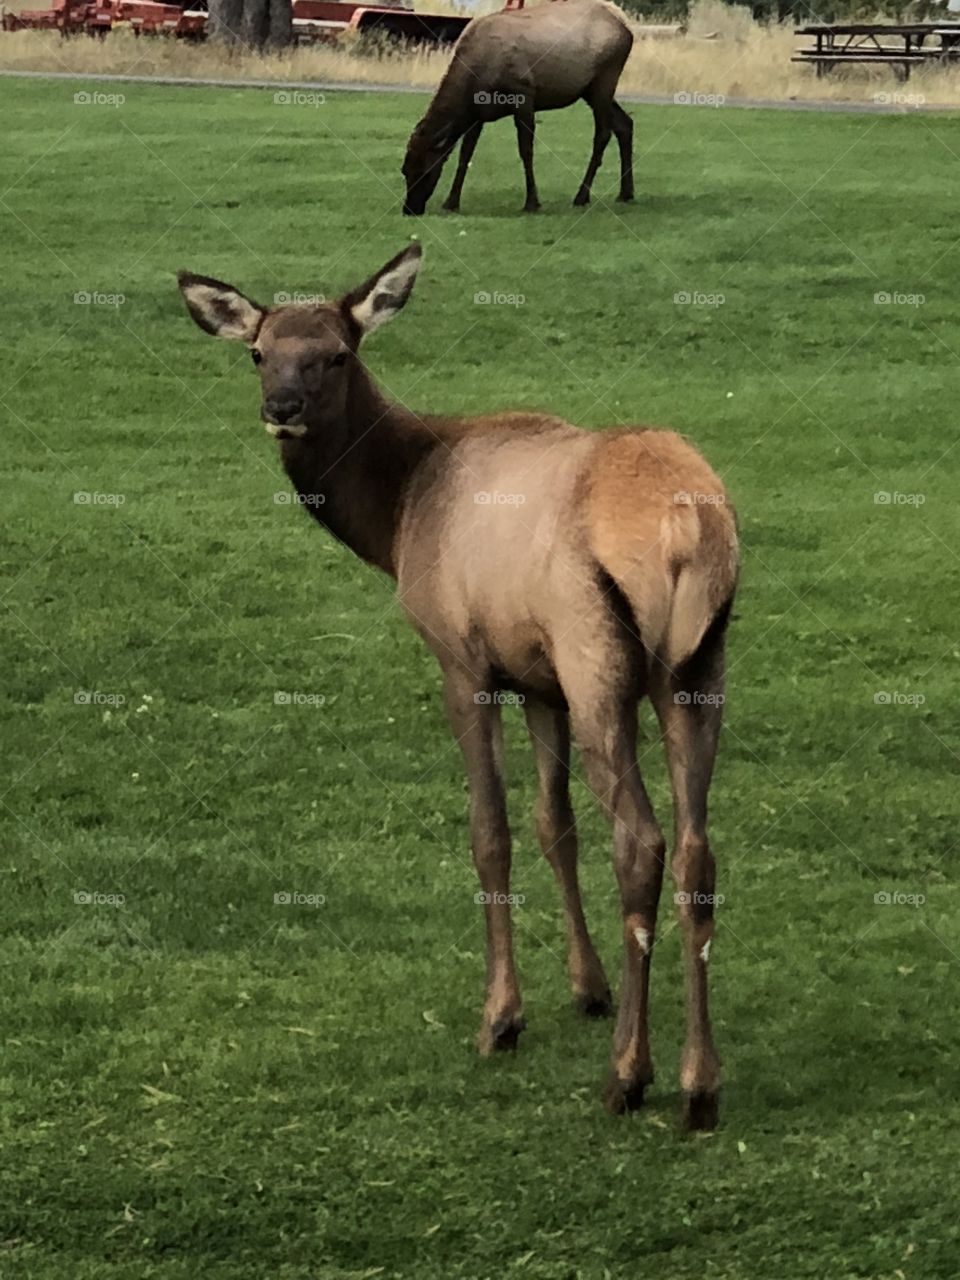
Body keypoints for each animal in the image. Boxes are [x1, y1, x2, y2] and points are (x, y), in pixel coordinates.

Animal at [177, 245, 739, 1130]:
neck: (398, 513)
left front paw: (501, 1016)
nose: (283, 408)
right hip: (695, 669)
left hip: (597, 658)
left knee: (640, 843)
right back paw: (700, 1083)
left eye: (337, 354)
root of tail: (688, 528)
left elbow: (490, 832)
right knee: (695, 849)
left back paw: (629, 1074)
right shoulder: (536, 678)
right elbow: (552, 824)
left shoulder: (464, 660)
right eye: (259, 352)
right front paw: (585, 987)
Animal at [401, 0, 635, 216]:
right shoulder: (477, 113)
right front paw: (451, 202)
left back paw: (582, 196)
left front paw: (532, 202)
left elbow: (526, 151)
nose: (409, 209)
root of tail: (627, 28)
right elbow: (465, 155)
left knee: (603, 133)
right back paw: (626, 193)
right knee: (625, 124)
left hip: (604, 80)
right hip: (589, 91)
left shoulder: (523, 95)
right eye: (405, 170)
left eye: (425, 172)